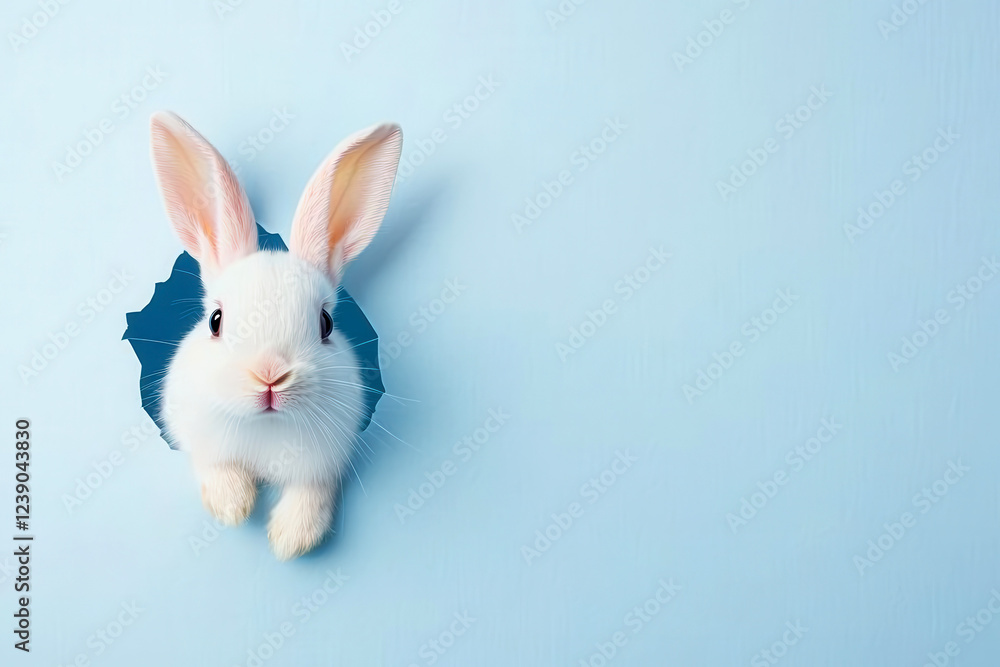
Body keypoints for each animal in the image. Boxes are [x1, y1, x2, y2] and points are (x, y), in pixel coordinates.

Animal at [148, 111, 402, 560]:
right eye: (215, 320)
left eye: (326, 323)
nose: (269, 377)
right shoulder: (199, 438)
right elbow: (217, 469)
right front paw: (234, 506)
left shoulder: (322, 465)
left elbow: (311, 495)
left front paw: (290, 540)